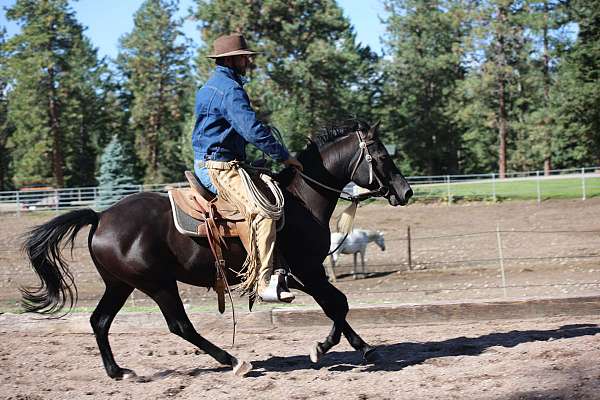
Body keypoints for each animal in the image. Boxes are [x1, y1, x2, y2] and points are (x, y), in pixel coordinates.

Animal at [22, 121, 412, 378]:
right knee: (180, 325)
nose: (405, 191)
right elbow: (336, 304)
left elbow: (336, 305)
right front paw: (326, 348)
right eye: (381, 155)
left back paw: (118, 371)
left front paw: (360, 346)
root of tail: (101, 216)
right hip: (158, 284)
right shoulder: (308, 270)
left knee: (99, 321)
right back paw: (234, 361)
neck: (301, 200)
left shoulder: (301, 275)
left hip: (121, 284)